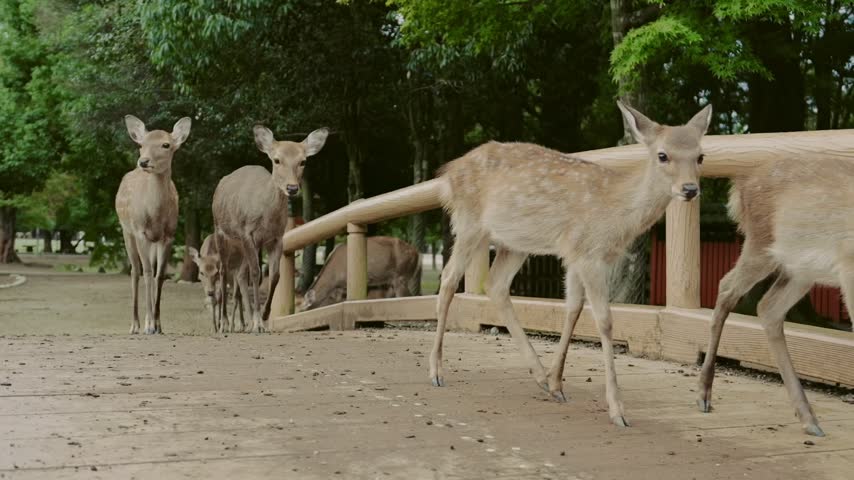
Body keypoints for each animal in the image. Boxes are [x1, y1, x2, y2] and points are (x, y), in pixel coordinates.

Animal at [115, 115, 192, 334]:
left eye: (166, 144)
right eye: (141, 145)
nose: (143, 161)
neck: (156, 215)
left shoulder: (169, 235)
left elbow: (160, 275)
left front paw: (158, 324)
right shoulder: (140, 231)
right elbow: (148, 273)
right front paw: (149, 325)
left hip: (152, 241)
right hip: (127, 231)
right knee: (135, 271)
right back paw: (134, 325)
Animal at [212, 126, 328, 333]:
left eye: (303, 161)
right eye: (277, 159)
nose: (292, 188)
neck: (266, 217)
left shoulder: (276, 238)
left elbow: (274, 275)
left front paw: (264, 318)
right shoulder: (247, 232)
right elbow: (256, 273)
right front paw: (258, 323)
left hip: (243, 243)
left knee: (240, 274)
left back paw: (244, 324)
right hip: (220, 230)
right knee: (224, 271)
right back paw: (224, 324)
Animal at [430, 102, 711, 428]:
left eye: (700, 155)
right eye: (663, 155)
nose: (690, 189)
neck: (616, 213)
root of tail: (448, 173)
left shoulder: (576, 255)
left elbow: (573, 309)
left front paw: (556, 383)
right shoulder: (589, 255)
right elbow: (604, 320)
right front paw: (617, 410)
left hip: (514, 243)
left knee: (495, 284)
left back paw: (539, 376)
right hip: (469, 222)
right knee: (449, 278)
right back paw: (436, 371)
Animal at [696, 157, 854, 437]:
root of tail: (741, 186)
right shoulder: (849, 266)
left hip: (799, 268)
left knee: (768, 307)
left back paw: (808, 418)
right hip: (760, 242)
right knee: (726, 287)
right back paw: (704, 394)